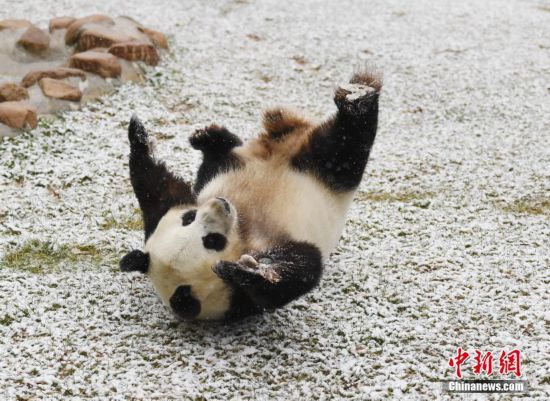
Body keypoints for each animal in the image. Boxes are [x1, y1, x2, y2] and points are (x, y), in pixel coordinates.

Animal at [119, 67, 384, 320]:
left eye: (189, 217)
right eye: (213, 241)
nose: (219, 204)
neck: (242, 228)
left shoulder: (163, 214)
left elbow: (154, 185)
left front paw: (137, 134)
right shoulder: (245, 296)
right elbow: (298, 274)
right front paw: (246, 271)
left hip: (236, 161)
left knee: (222, 153)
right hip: (322, 173)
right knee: (344, 148)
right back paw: (357, 102)